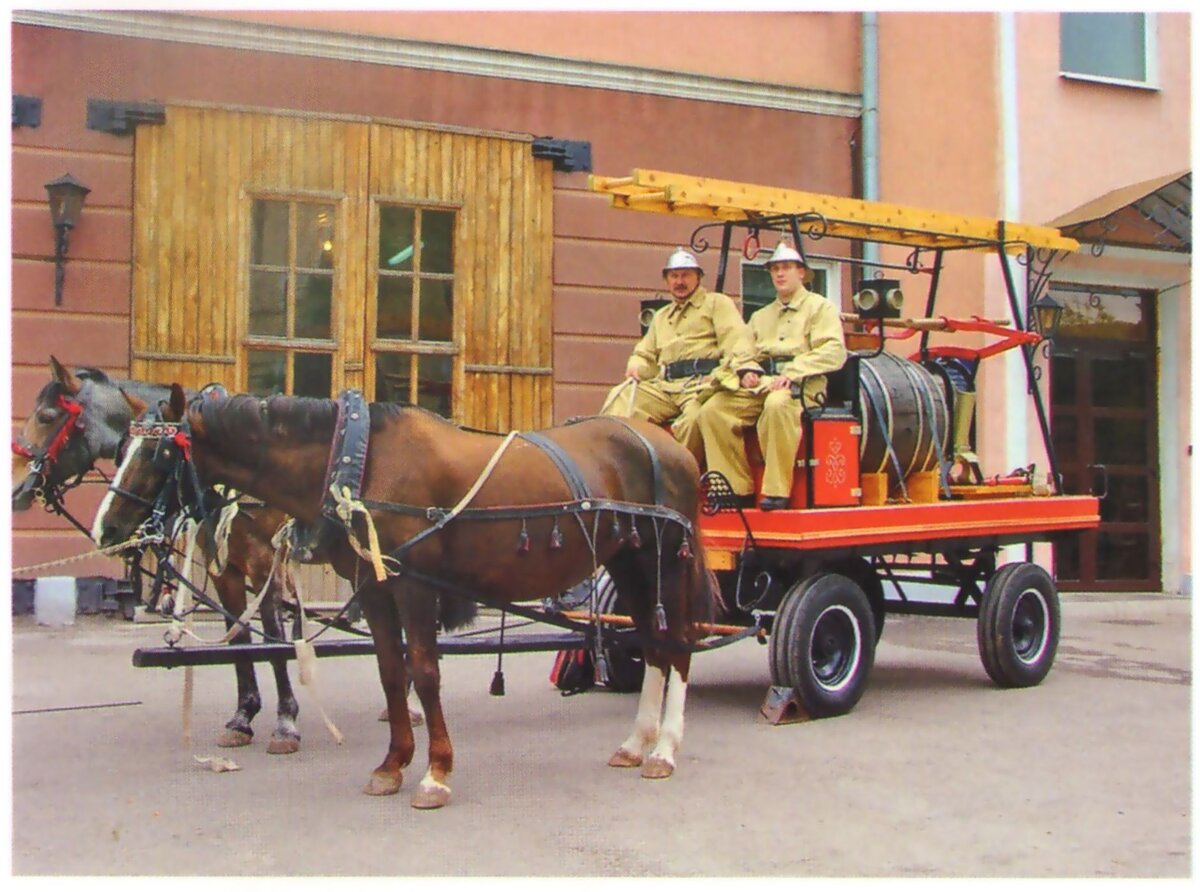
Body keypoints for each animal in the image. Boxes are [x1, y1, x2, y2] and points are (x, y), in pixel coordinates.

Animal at [96, 384, 710, 811]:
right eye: (123, 447)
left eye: (157, 457)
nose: (107, 528)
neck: (361, 462)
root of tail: (668, 445)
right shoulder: (374, 589)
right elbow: (392, 672)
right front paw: (392, 765)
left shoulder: (414, 586)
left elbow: (425, 672)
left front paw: (436, 773)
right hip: (629, 561)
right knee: (652, 643)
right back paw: (635, 742)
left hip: (665, 561)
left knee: (676, 644)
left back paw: (663, 749)